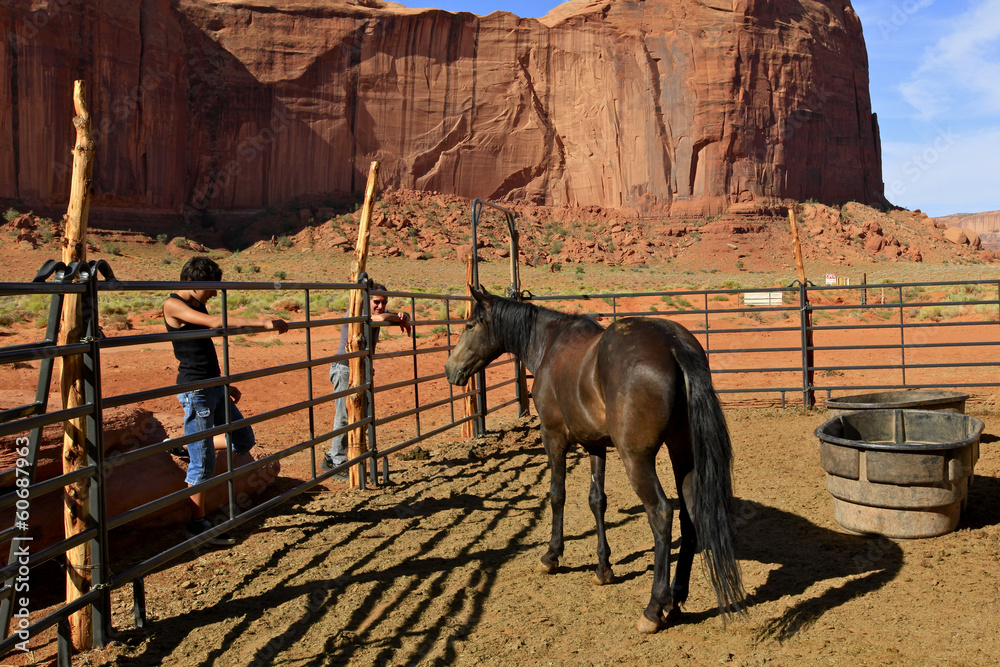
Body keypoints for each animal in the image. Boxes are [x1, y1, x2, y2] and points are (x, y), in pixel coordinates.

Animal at [446, 288, 744, 632]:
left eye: (469, 325)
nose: (450, 369)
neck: (549, 345)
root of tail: (673, 345)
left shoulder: (553, 437)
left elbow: (557, 495)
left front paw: (552, 555)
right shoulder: (595, 445)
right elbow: (597, 500)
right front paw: (604, 568)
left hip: (637, 459)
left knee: (662, 514)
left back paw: (654, 608)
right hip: (683, 453)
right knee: (689, 515)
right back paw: (676, 598)